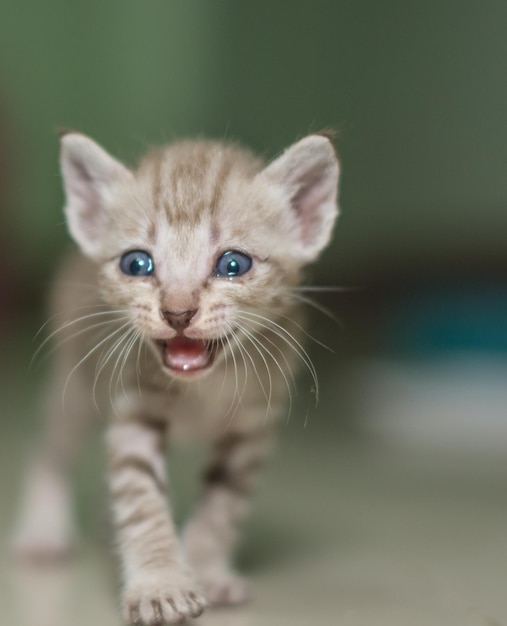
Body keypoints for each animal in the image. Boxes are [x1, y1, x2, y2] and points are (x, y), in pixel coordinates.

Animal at [14, 129, 342, 620]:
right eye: (137, 264)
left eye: (233, 265)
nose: (178, 312)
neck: (204, 390)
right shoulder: (133, 409)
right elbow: (141, 500)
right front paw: (160, 584)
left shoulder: (251, 429)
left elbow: (221, 507)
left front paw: (205, 568)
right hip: (76, 382)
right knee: (52, 448)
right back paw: (43, 530)